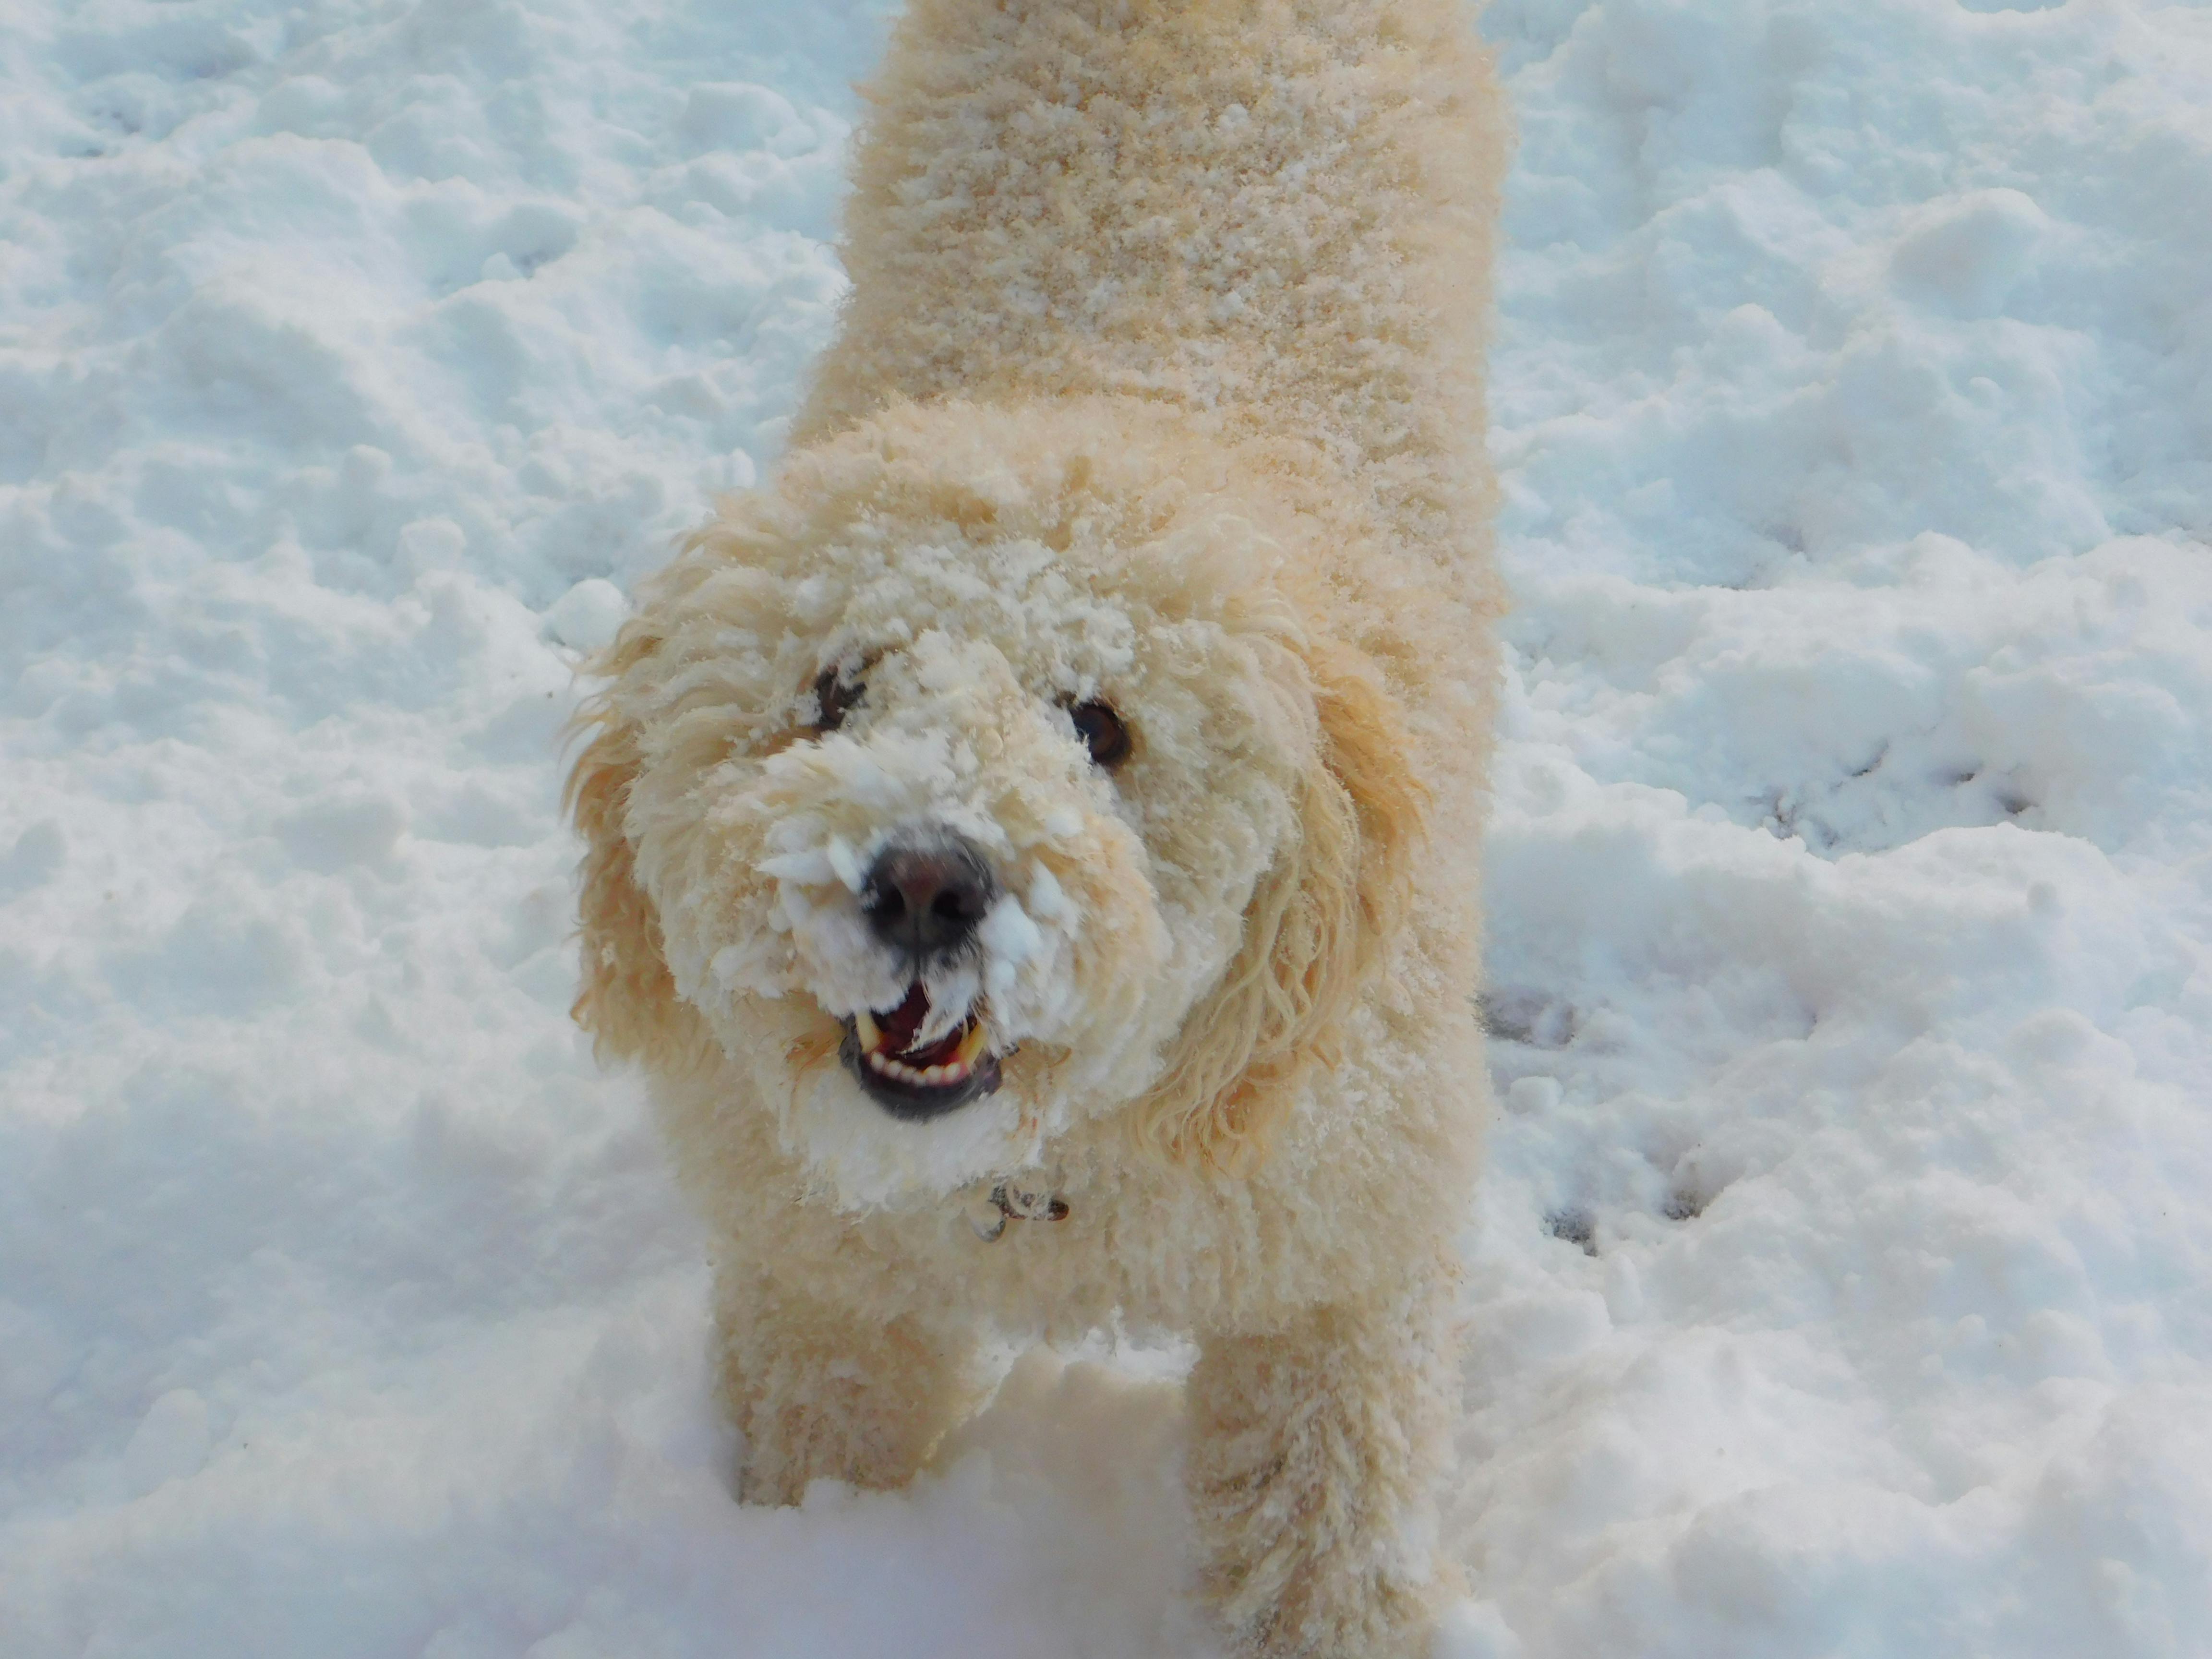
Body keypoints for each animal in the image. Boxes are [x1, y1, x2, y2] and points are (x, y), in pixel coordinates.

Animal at [566, 6, 1522, 1654]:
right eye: (836, 690)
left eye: (1100, 724)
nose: (925, 883)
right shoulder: (822, 1281)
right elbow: (828, 1433)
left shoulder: (1342, 1261)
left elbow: (1327, 1522)